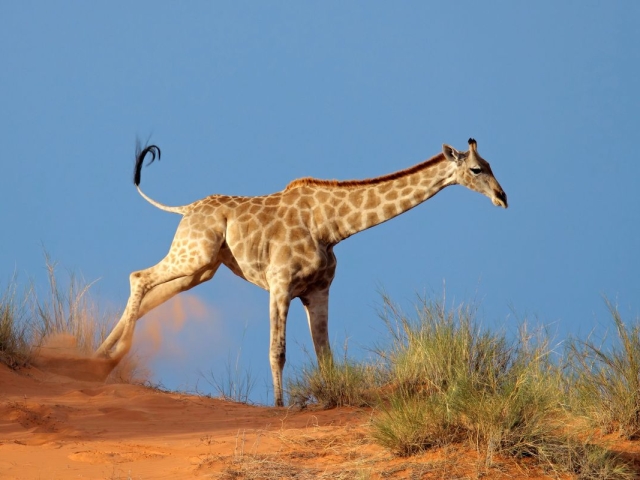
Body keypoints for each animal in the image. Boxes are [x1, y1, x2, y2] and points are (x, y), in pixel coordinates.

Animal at [95, 138, 507, 406]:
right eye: (476, 168)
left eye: (491, 165)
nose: (502, 197)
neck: (331, 226)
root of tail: (186, 209)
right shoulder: (280, 285)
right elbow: (277, 350)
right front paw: (280, 407)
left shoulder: (318, 291)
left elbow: (325, 354)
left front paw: (331, 400)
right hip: (195, 254)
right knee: (139, 278)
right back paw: (110, 356)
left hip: (202, 268)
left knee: (151, 291)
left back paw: (100, 356)